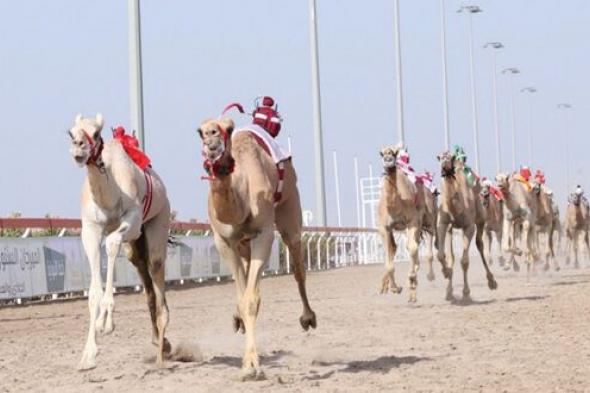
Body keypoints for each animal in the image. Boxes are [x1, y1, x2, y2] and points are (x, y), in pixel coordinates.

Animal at [69, 112, 172, 368]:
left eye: (96, 134)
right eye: (71, 132)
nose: (78, 146)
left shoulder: (132, 223)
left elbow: (111, 245)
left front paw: (105, 322)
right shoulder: (90, 230)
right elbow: (93, 292)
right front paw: (88, 354)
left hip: (158, 220)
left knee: (156, 268)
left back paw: (161, 354)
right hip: (135, 248)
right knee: (145, 281)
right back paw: (160, 342)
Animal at [380, 145, 440, 302]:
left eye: (394, 153)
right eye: (381, 153)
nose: (388, 159)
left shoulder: (413, 222)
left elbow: (412, 249)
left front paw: (411, 281)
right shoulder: (384, 228)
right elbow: (390, 256)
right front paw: (395, 288)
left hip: (429, 222)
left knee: (427, 249)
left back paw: (427, 277)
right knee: (395, 248)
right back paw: (385, 286)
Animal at [438, 150, 498, 300]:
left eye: (451, 157)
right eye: (438, 157)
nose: (444, 167)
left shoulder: (469, 226)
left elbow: (464, 261)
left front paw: (466, 293)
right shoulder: (443, 224)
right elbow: (443, 256)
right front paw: (447, 275)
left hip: (481, 219)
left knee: (480, 244)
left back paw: (492, 282)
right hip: (453, 228)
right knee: (452, 256)